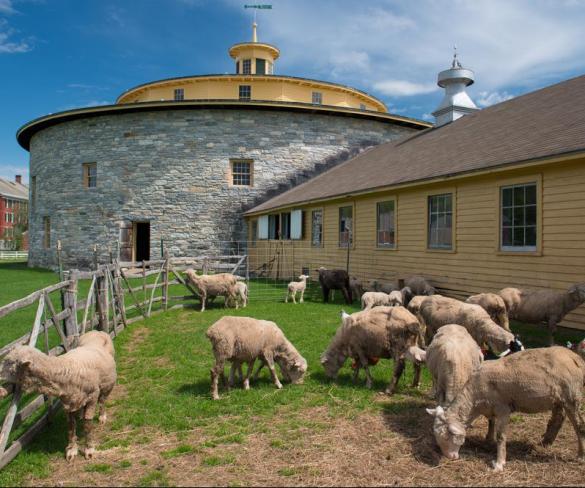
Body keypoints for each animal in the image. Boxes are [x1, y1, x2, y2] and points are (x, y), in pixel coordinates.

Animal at [0, 331, 116, 461]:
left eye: (10, 362)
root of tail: (96, 331)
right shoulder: (69, 401)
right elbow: (71, 426)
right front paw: (71, 450)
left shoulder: (92, 396)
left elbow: (87, 425)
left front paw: (89, 449)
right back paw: (81, 414)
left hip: (107, 385)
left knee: (102, 401)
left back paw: (102, 417)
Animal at [427, 347, 585, 471]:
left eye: (447, 436)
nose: (449, 457)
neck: (474, 399)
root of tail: (576, 357)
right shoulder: (490, 406)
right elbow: (491, 423)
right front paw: (488, 439)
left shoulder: (503, 408)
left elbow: (501, 436)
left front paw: (499, 463)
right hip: (558, 399)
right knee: (558, 418)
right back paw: (546, 441)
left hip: (571, 396)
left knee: (579, 426)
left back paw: (580, 456)